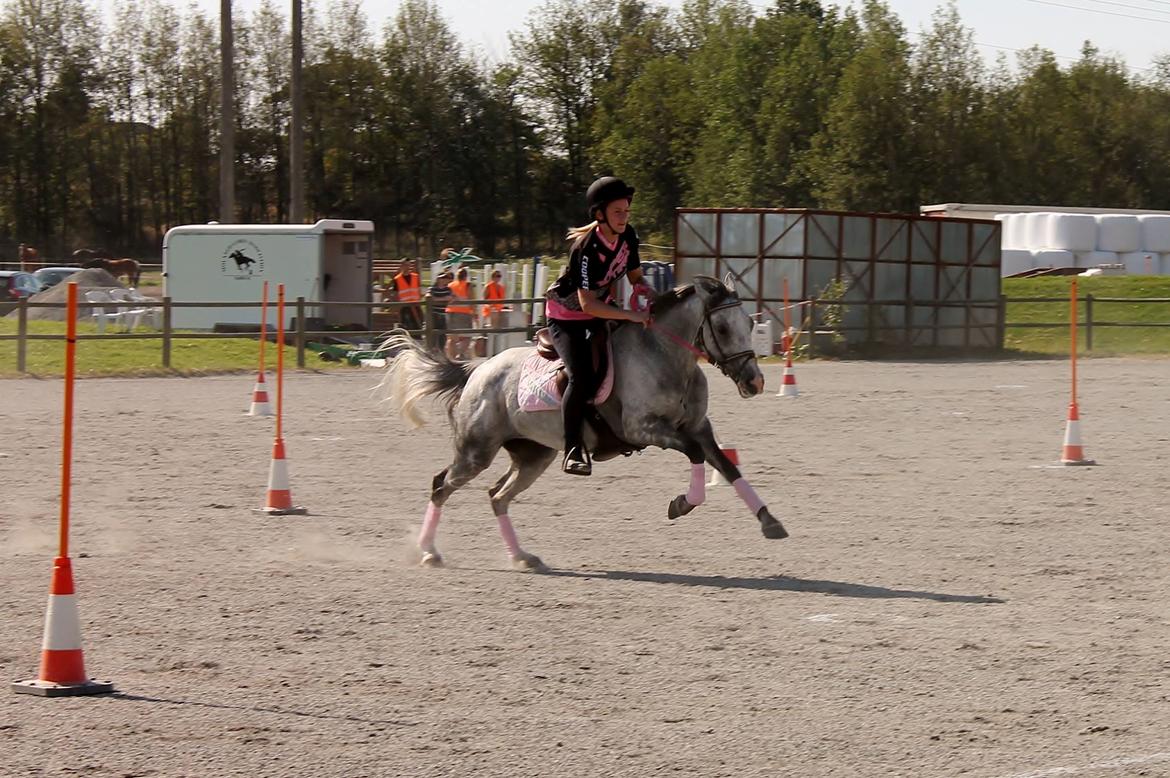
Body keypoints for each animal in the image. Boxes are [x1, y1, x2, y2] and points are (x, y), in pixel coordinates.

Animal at [379, 274, 790, 570]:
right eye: (722, 329)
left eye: (749, 323)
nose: (755, 382)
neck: (665, 357)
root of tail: (476, 371)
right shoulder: (645, 429)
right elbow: (695, 456)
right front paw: (681, 504)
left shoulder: (699, 427)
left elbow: (726, 466)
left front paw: (770, 521)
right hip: (475, 451)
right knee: (441, 486)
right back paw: (428, 552)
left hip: (534, 455)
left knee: (498, 496)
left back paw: (522, 557)